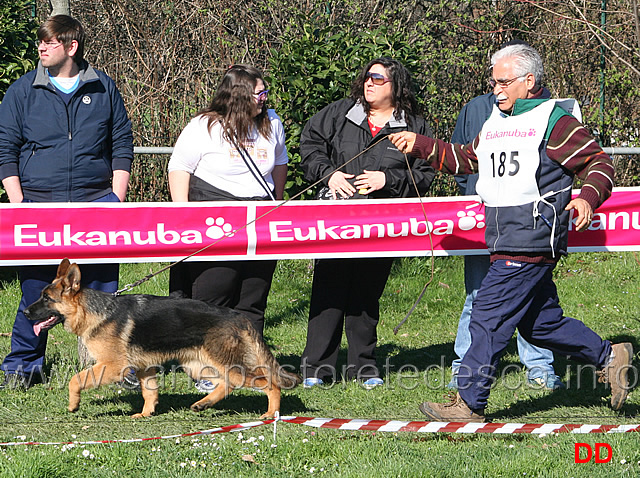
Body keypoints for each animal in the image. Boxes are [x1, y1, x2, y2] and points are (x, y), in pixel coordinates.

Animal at [25, 258, 302, 418]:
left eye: (47, 299)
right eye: (41, 296)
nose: (26, 313)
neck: (94, 311)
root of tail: (238, 316)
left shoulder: (112, 366)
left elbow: (75, 380)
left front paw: (73, 405)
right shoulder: (143, 368)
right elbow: (150, 392)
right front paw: (146, 414)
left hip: (222, 365)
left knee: (269, 383)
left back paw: (271, 413)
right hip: (201, 366)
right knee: (229, 384)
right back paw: (204, 404)